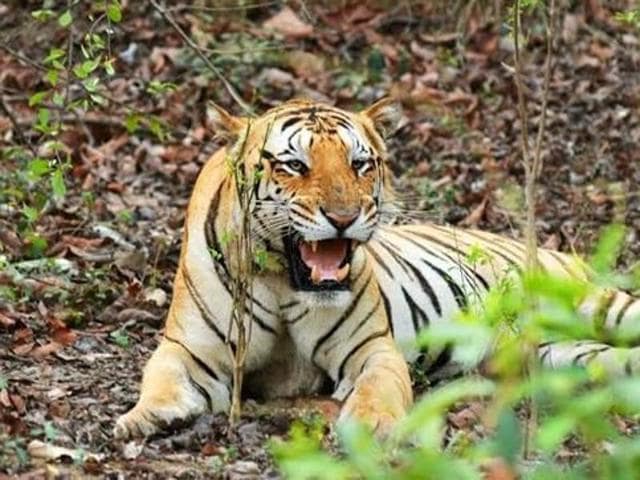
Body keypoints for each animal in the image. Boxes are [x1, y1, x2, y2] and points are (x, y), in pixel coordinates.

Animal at [114, 98, 640, 439]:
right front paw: (146, 417)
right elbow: (161, 376)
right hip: (562, 356)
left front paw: (373, 426)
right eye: (295, 165)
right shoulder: (190, 349)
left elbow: (378, 388)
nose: (344, 217)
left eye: (360, 164)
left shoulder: (371, 348)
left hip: (599, 306)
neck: (283, 280)